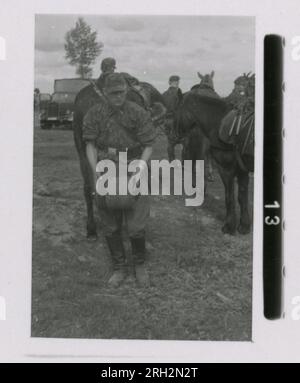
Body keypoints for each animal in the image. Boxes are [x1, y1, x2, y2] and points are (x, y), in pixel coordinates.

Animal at [177, 71, 254, 234]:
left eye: (177, 110)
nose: (177, 133)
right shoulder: (241, 169)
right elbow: (241, 196)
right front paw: (243, 226)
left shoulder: (227, 169)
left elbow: (230, 196)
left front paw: (229, 226)